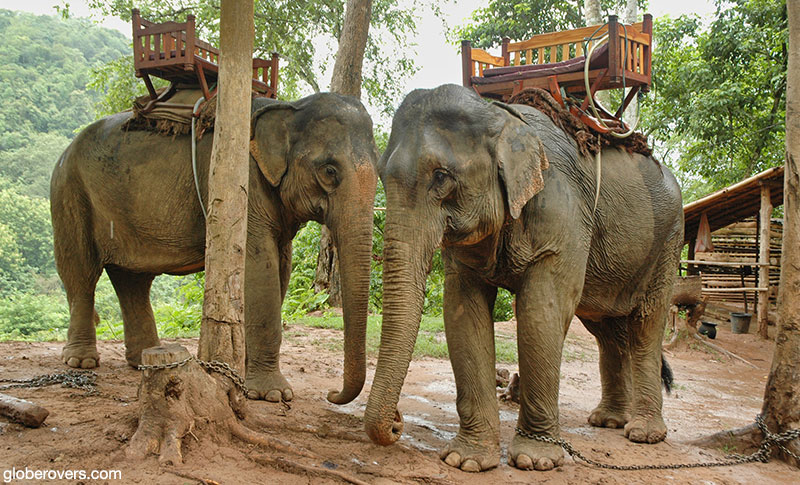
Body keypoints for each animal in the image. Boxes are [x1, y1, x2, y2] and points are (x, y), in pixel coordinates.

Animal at [50, 92, 378, 404]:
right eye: (329, 170)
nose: (332, 395)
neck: (290, 106)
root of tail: (65, 151)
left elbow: (280, 271)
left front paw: (243, 374)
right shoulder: (244, 182)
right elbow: (259, 268)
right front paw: (272, 395)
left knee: (132, 279)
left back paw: (143, 359)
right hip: (69, 192)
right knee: (80, 272)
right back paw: (81, 361)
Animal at [364, 85, 683, 471]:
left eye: (441, 176)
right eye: (382, 176)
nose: (397, 421)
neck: (500, 116)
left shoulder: (562, 210)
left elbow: (540, 312)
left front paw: (535, 460)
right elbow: (462, 311)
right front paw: (466, 461)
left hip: (668, 241)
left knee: (646, 324)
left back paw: (642, 432)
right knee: (606, 330)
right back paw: (607, 420)